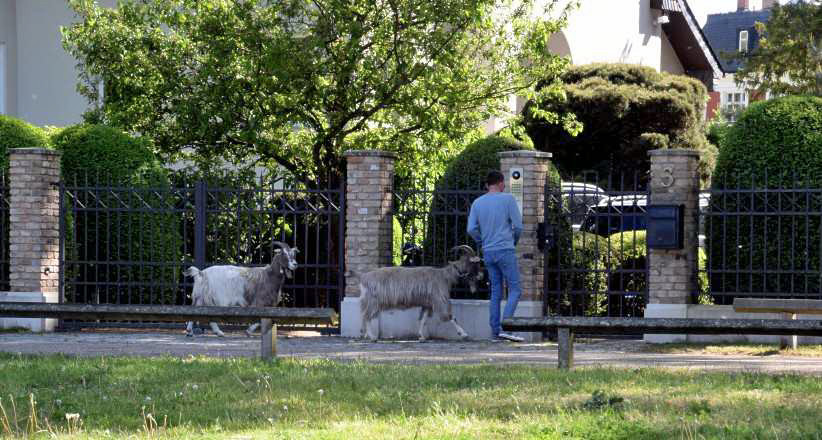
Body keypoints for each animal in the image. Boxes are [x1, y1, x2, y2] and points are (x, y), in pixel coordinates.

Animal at [352, 246, 482, 342]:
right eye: (474, 264)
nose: (481, 276)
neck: (444, 276)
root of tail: (363, 277)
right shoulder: (439, 300)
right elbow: (451, 317)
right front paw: (464, 334)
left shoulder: (427, 304)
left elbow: (423, 319)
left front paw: (422, 337)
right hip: (372, 301)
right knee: (366, 316)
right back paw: (372, 337)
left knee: (365, 316)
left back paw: (365, 334)